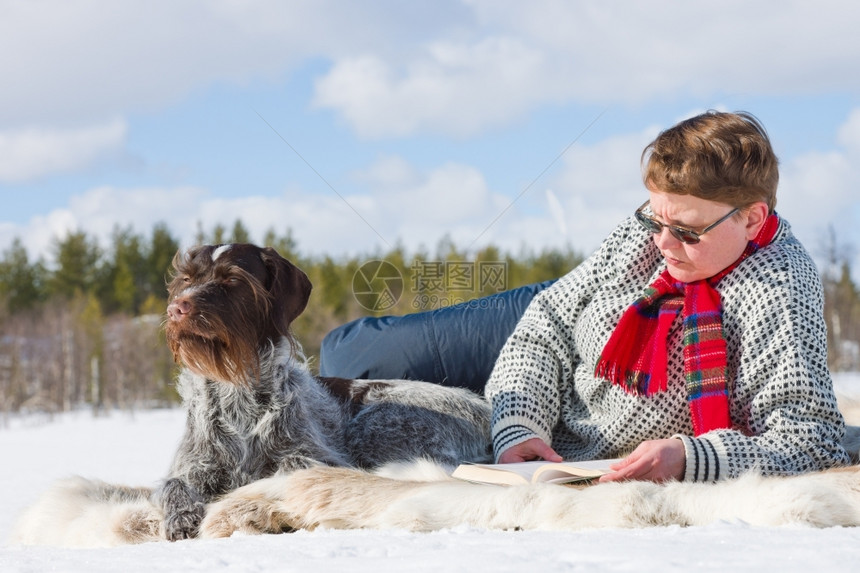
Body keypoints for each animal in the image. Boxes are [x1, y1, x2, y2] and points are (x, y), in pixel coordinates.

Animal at [155, 244, 490, 540]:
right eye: (187, 279)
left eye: (233, 279)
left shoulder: (319, 458)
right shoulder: (191, 466)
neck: (235, 391)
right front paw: (181, 516)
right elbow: (172, 485)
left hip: (377, 423)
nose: (176, 309)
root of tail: (485, 410)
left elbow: (293, 469)